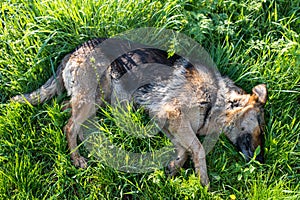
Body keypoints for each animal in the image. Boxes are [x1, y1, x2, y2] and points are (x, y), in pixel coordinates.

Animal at [12, 38, 268, 186]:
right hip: (92, 98)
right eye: (262, 129)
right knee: (69, 125)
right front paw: (203, 181)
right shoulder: (175, 116)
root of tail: (74, 51)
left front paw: (174, 167)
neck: (217, 100)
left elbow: (184, 150)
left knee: (69, 112)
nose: (262, 161)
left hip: (97, 99)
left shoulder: (166, 121)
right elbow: (198, 148)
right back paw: (77, 158)